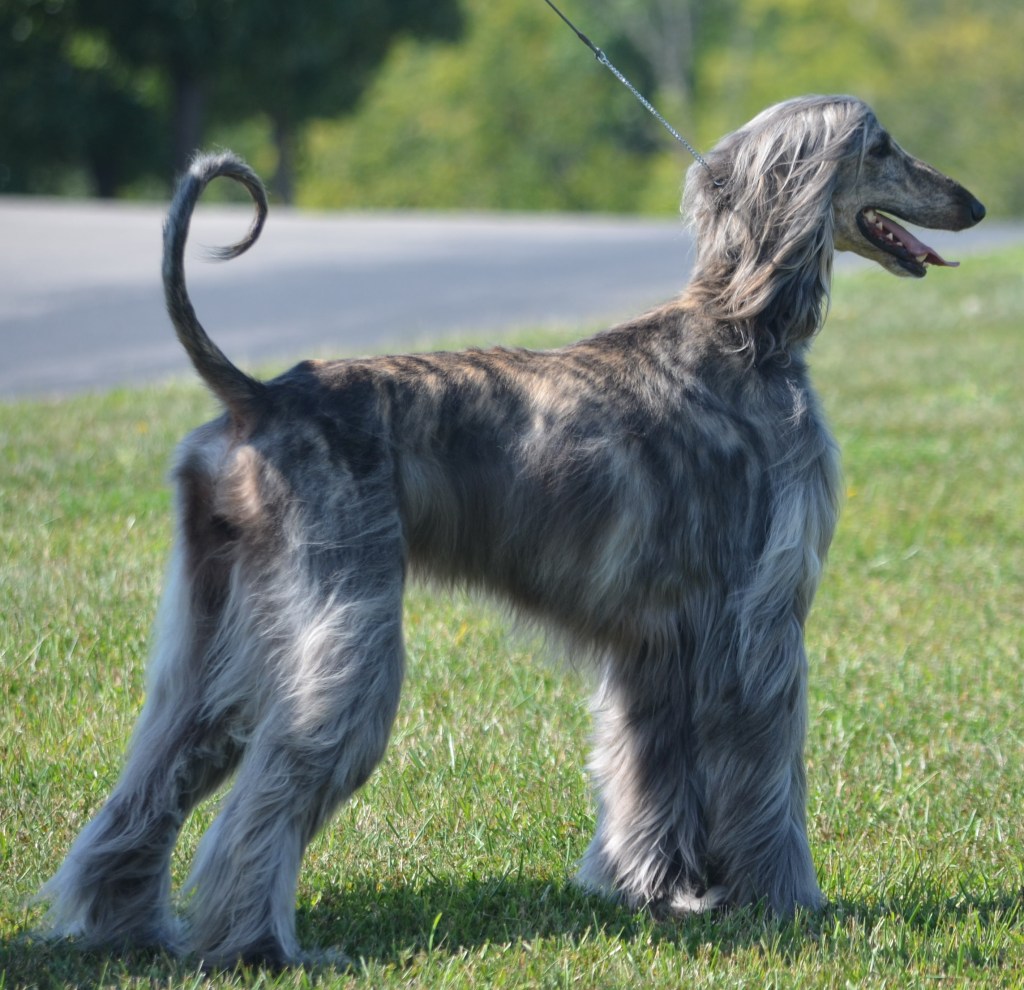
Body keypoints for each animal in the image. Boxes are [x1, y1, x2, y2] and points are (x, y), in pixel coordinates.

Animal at [37, 95, 985, 967]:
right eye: (881, 145)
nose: (973, 204)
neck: (745, 331)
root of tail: (259, 395)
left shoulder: (663, 643)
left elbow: (652, 778)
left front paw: (661, 891)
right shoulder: (757, 623)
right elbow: (764, 772)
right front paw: (785, 903)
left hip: (218, 625)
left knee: (165, 767)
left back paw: (129, 928)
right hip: (343, 623)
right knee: (274, 786)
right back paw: (263, 947)